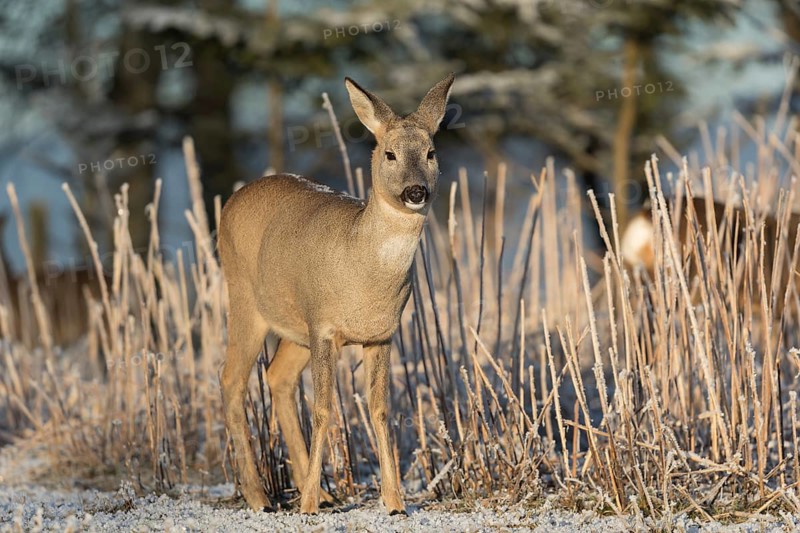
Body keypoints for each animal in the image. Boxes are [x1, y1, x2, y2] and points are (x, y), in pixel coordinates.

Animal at [218, 73, 455, 514]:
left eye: (431, 153)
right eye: (390, 154)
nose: (416, 192)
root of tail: (233, 199)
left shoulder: (382, 334)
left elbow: (380, 410)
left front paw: (394, 502)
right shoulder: (323, 326)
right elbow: (324, 409)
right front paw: (307, 505)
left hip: (294, 327)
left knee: (277, 377)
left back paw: (323, 494)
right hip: (243, 297)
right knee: (231, 379)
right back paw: (261, 497)